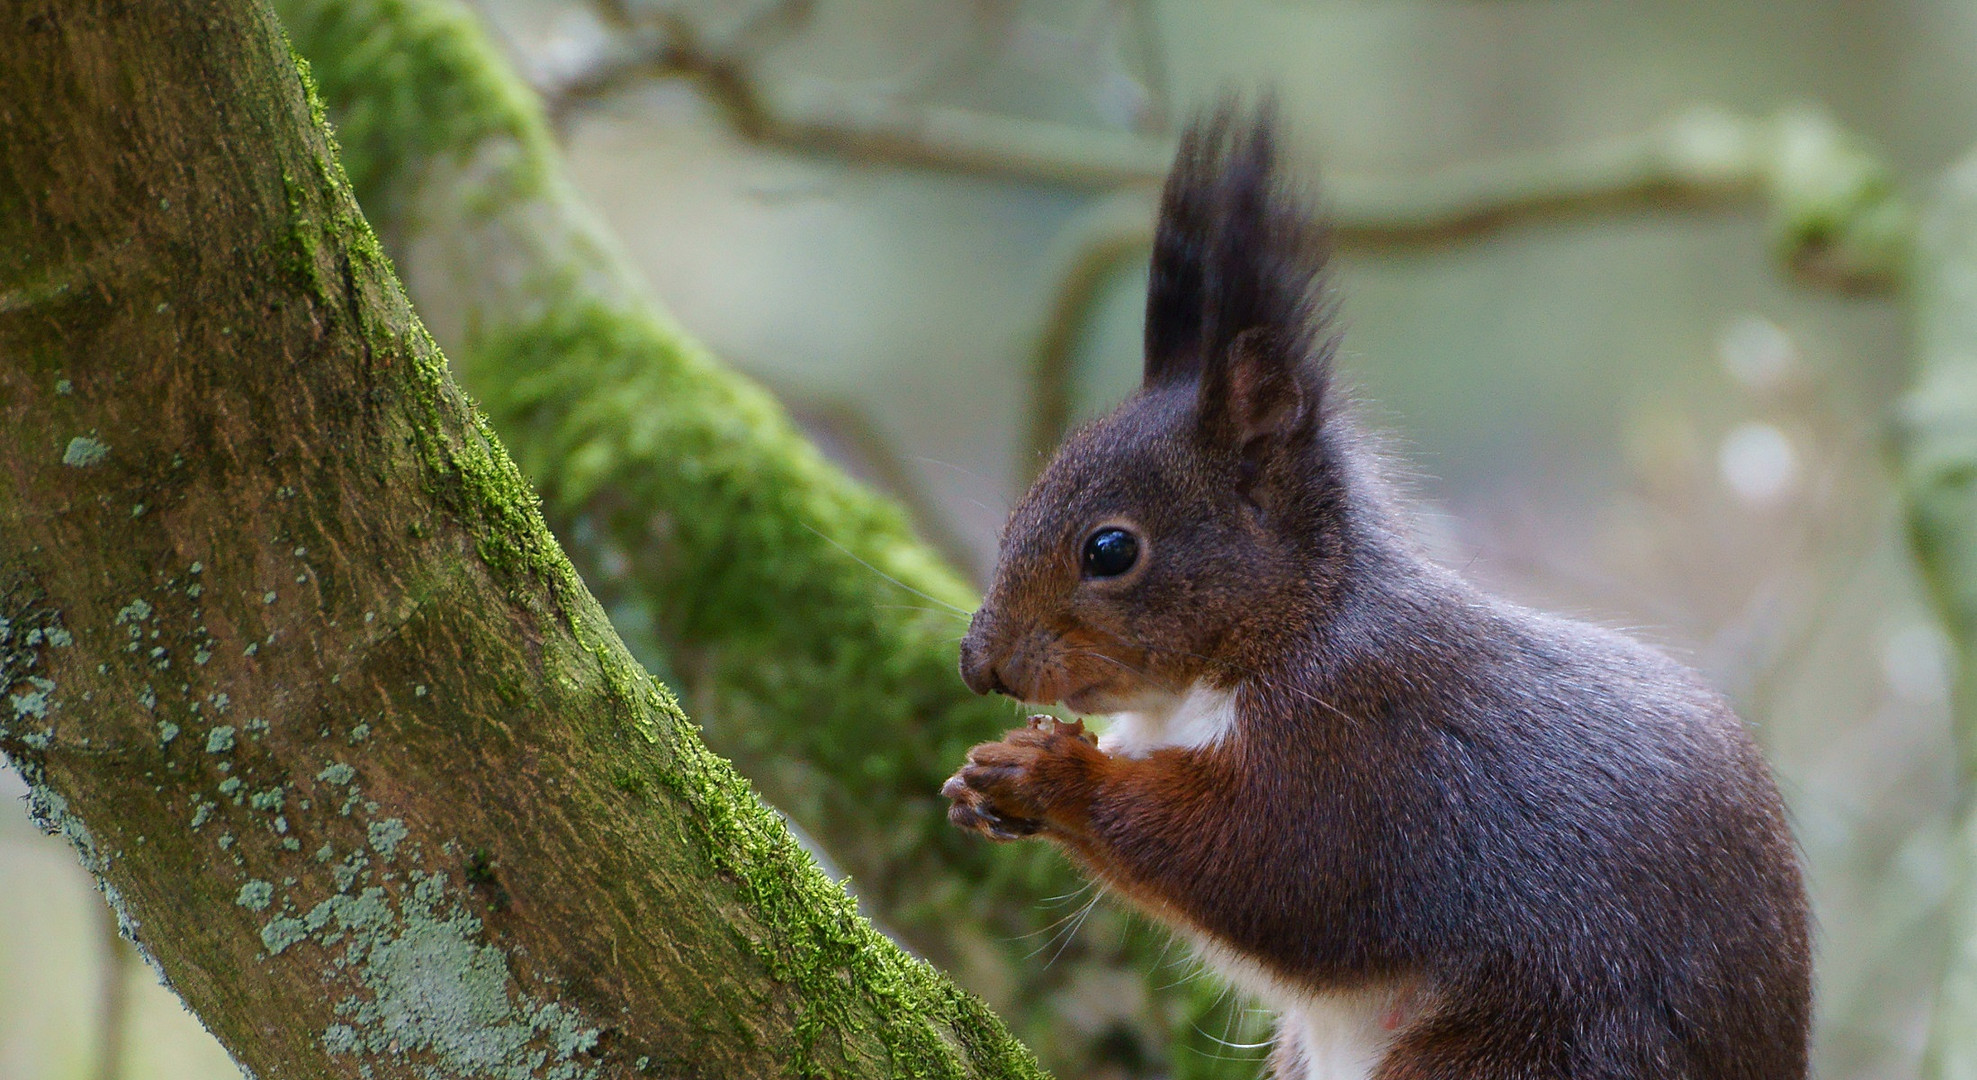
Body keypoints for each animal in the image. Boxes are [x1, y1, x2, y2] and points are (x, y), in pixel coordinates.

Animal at [941, 102, 1810, 1076]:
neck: (1292, 621)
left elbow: (1263, 868)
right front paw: (975, 786)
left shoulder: (1360, 752)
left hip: (1523, 1052)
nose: (977, 663)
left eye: (1109, 548)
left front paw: (1047, 773)